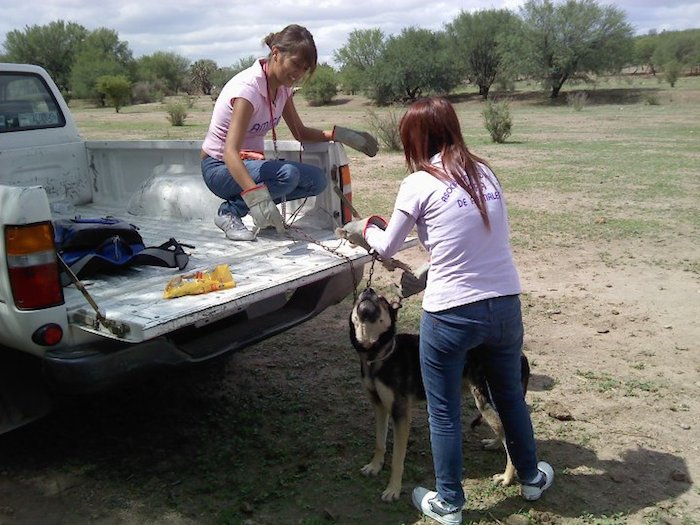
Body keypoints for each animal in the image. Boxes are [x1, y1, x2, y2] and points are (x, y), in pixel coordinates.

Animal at [350, 288, 532, 502]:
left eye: (382, 301)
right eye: (359, 298)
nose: (367, 290)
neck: (379, 354)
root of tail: (521, 355)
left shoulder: (400, 414)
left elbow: (397, 459)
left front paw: (393, 489)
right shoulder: (379, 406)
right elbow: (379, 443)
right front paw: (374, 467)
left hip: (484, 401)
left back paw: (506, 477)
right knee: (505, 429)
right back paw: (494, 444)